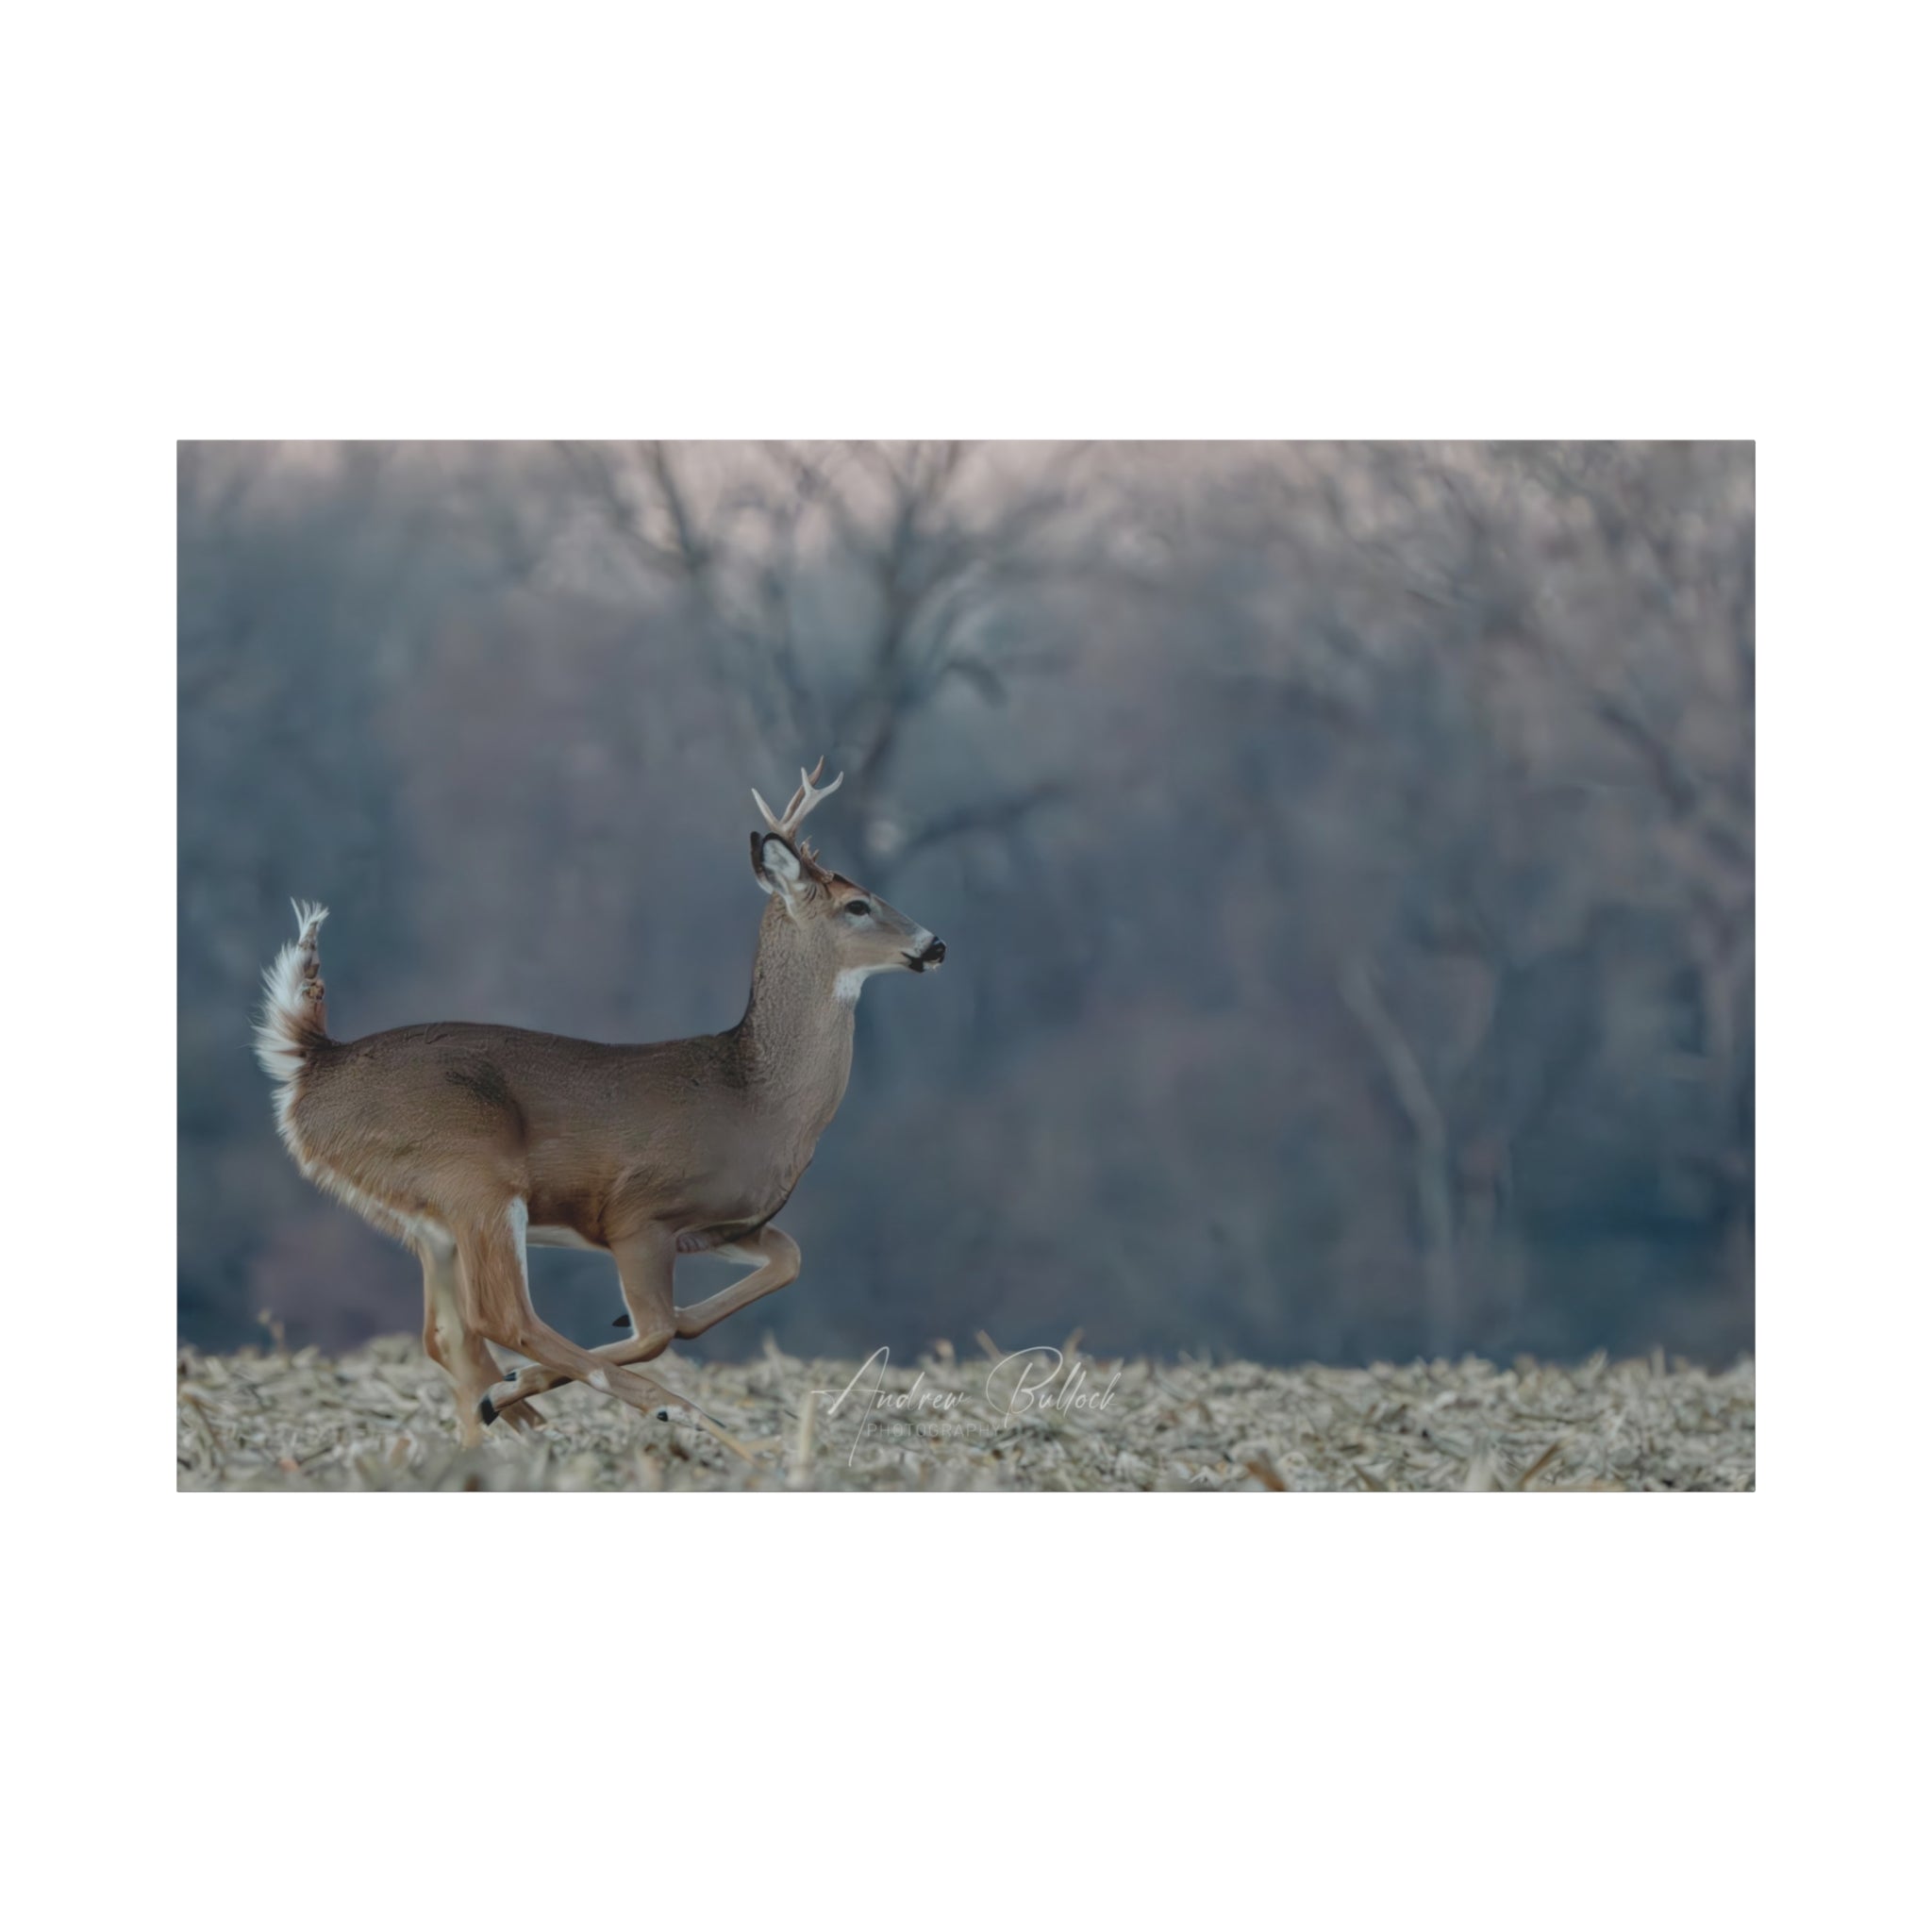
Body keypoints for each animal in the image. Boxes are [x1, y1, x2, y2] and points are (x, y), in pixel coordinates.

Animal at [253, 759, 944, 1448]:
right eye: (857, 904)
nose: (935, 943)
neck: (757, 1098)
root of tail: (315, 1061)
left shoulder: (722, 1225)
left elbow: (784, 1263)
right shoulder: (637, 1214)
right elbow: (657, 1330)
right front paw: (547, 1380)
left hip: (430, 1219)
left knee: (448, 1334)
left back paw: (502, 1427)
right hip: (472, 1175)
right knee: (501, 1316)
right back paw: (663, 1415)